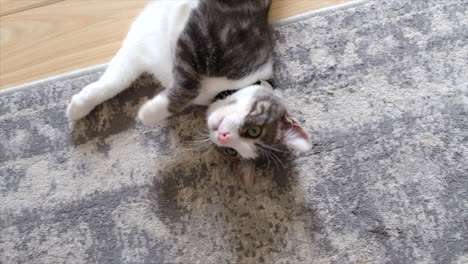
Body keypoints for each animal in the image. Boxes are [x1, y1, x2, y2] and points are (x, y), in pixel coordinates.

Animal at [66, 0, 312, 185]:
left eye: (231, 151)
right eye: (254, 131)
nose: (223, 137)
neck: (221, 90)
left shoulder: (146, 41)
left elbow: (119, 77)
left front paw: (80, 104)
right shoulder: (206, 36)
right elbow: (188, 80)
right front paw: (148, 112)